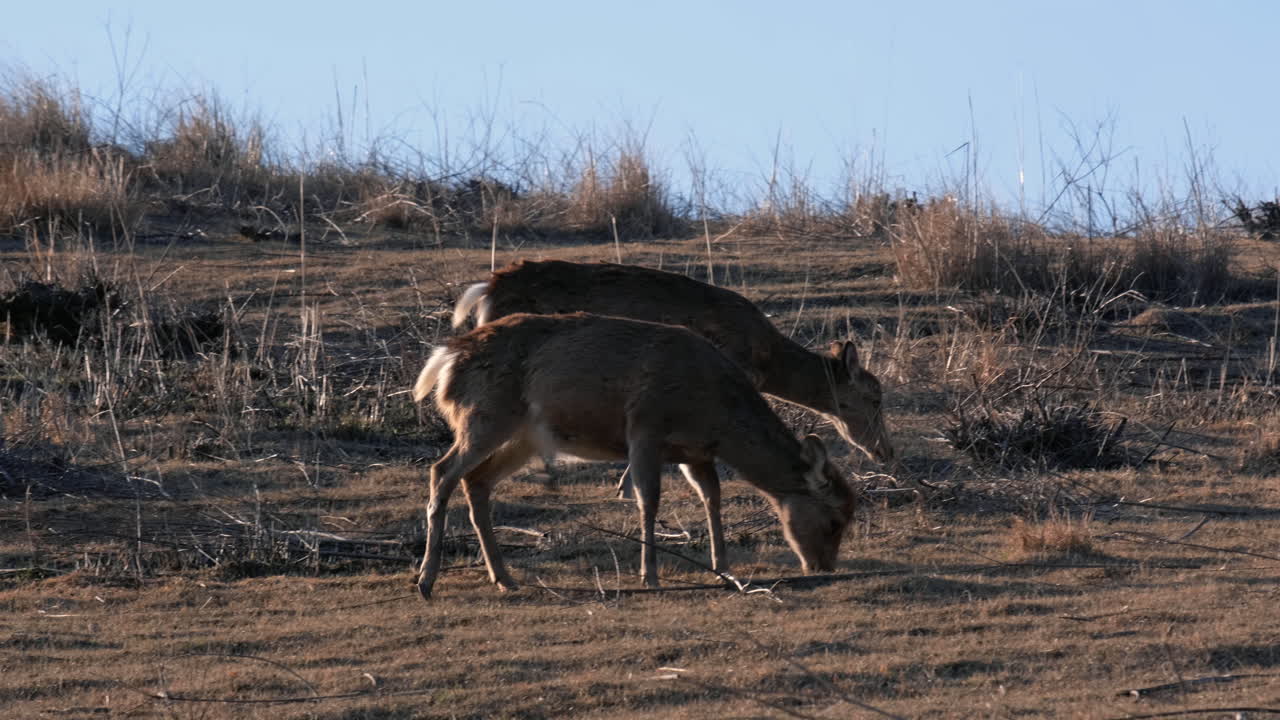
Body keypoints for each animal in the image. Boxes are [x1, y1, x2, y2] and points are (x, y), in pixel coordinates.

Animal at [411, 312, 857, 600]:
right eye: (835, 520)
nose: (824, 566)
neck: (715, 412)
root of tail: (445, 361)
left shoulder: (696, 452)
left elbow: (712, 498)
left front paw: (723, 568)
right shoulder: (644, 427)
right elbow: (648, 499)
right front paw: (650, 575)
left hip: (522, 437)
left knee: (476, 481)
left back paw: (503, 577)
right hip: (485, 416)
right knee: (442, 471)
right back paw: (426, 580)